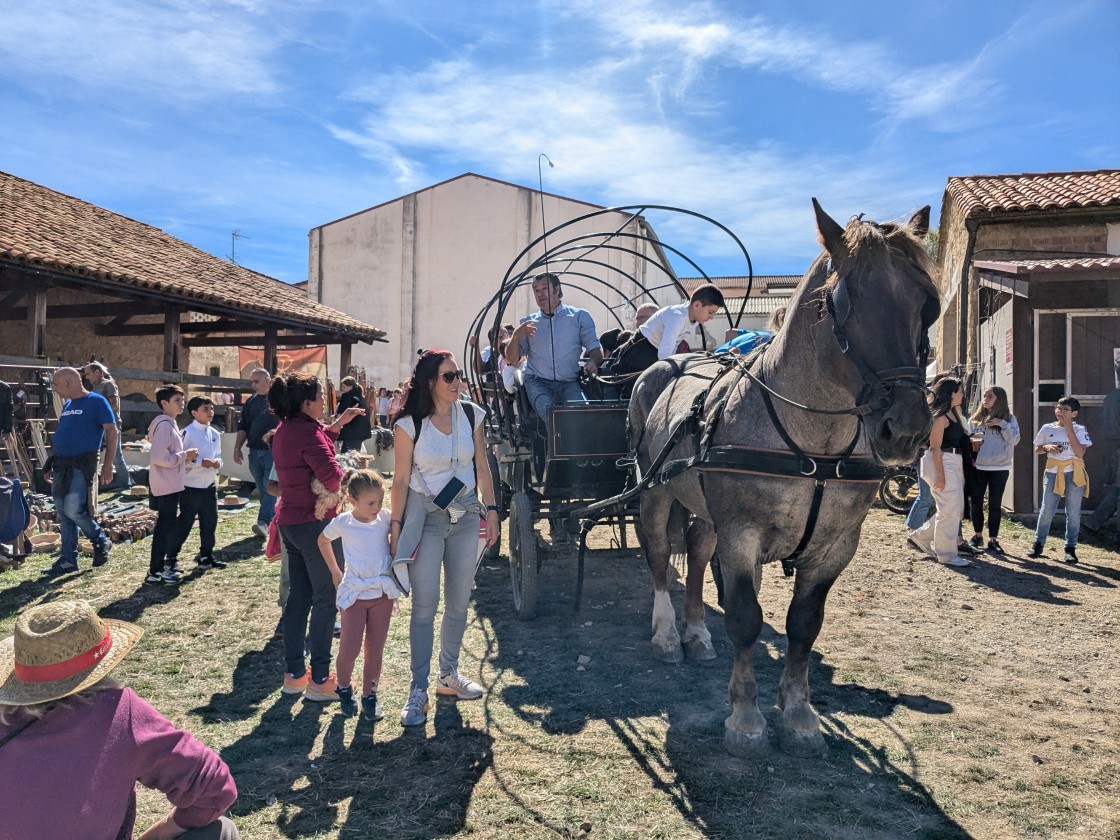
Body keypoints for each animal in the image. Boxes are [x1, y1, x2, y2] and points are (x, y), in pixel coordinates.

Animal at [631, 200, 936, 761]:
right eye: (843, 300)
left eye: (928, 304)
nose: (905, 429)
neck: (814, 445)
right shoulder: (741, 534)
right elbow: (745, 620)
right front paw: (746, 717)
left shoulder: (836, 546)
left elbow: (803, 626)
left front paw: (797, 712)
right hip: (656, 492)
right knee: (660, 556)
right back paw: (665, 634)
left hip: (704, 509)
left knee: (696, 554)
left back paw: (695, 633)